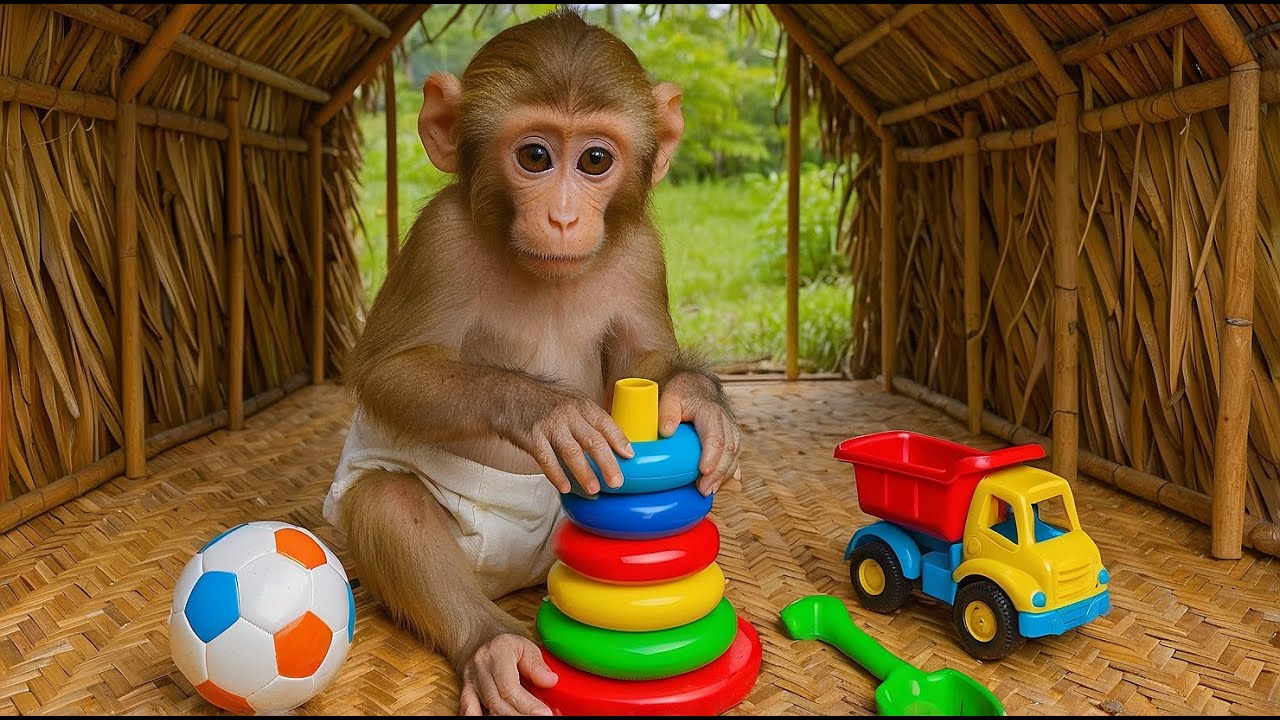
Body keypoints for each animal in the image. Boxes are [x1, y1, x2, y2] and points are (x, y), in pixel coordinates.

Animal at [323, 9, 742, 717]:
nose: (564, 216)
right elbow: (388, 368)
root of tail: (517, 579)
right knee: (386, 501)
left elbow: (646, 355)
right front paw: (548, 413)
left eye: (595, 159)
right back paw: (496, 648)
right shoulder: (439, 239)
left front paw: (697, 399)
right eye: (535, 157)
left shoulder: (642, 252)